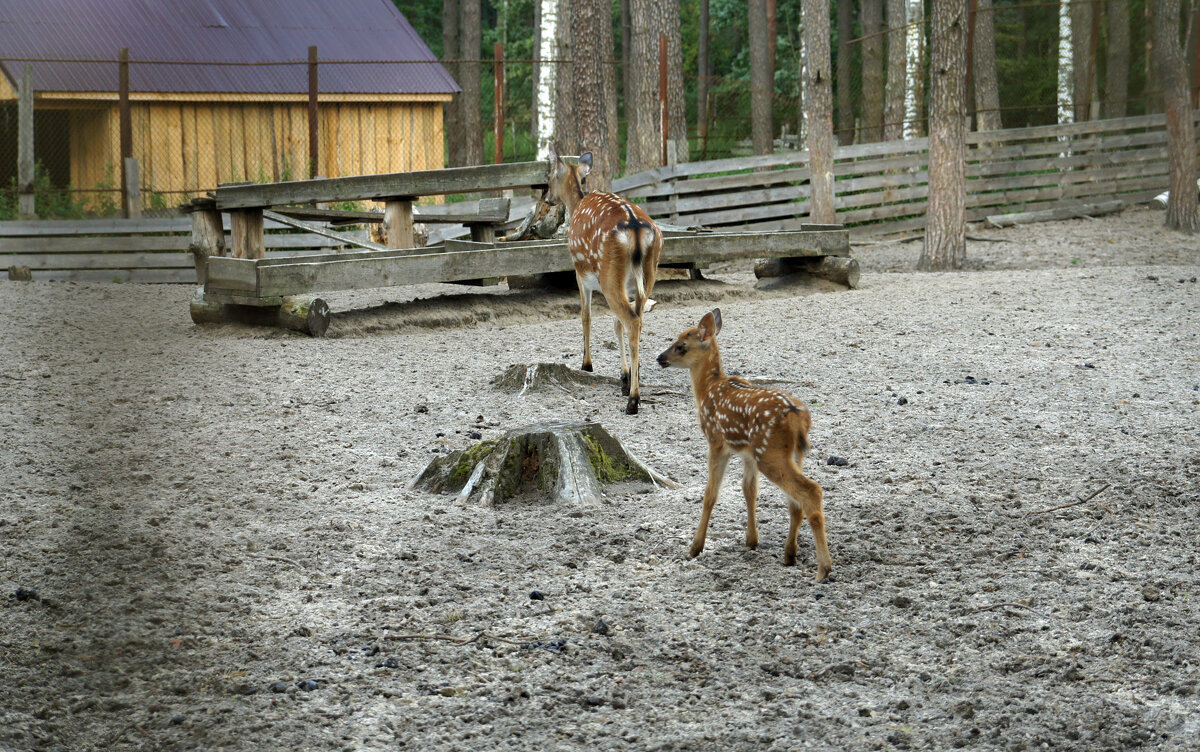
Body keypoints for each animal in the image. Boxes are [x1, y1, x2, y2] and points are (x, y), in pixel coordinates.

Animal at [547, 149, 667, 414]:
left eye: (548, 178)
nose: (547, 199)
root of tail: (635, 227)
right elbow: (616, 325)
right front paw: (625, 374)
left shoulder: (579, 273)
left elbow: (586, 315)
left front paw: (587, 364)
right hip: (647, 275)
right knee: (637, 321)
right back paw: (633, 384)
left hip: (608, 276)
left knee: (631, 321)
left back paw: (633, 401)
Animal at [657, 309, 835, 580]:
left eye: (680, 345)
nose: (660, 358)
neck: (707, 390)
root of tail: (798, 417)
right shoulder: (747, 453)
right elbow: (749, 490)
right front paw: (751, 541)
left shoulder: (716, 442)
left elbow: (710, 494)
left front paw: (695, 547)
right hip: (791, 452)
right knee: (795, 502)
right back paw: (790, 554)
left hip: (769, 452)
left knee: (811, 491)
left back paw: (823, 569)